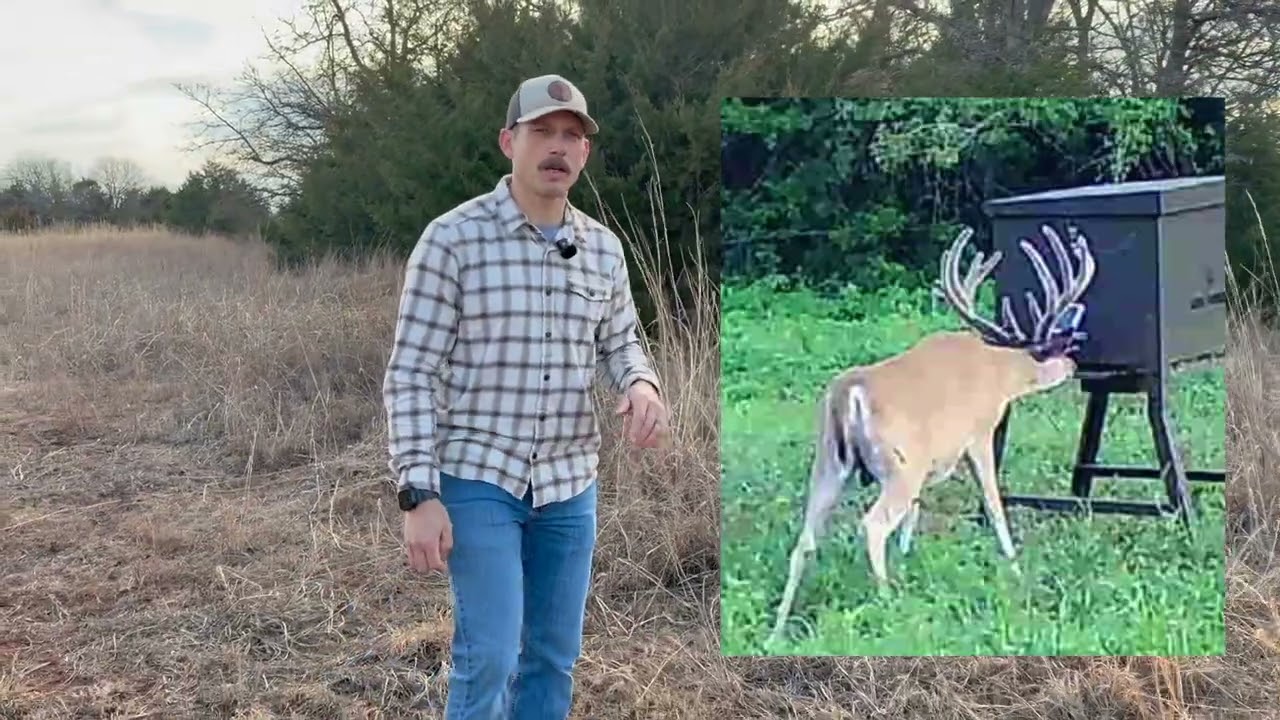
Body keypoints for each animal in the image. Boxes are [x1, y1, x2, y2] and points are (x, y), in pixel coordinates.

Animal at [768, 222, 1097, 644]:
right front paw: (1014, 566)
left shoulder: (927, 463)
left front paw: (909, 559)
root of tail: (850, 393)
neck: (1001, 371)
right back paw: (889, 605)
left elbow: (915, 513)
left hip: (829, 461)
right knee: (872, 526)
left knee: (805, 540)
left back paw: (777, 630)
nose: (1073, 365)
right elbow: (993, 503)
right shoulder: (978, 434)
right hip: (898, 467)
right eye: (1057, 347)